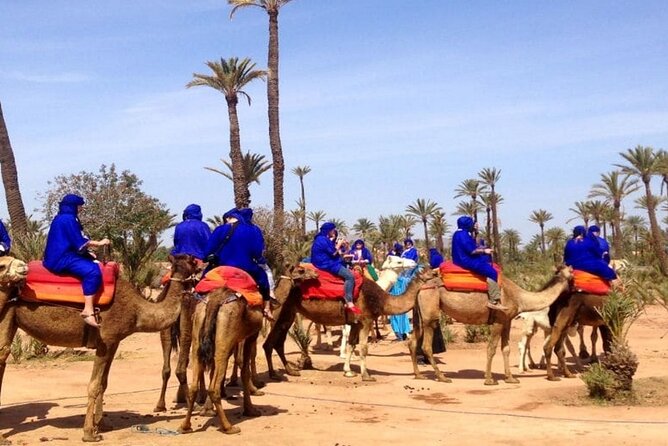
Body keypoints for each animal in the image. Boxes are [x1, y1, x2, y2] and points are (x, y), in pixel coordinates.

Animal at [0, 254, 198, 442]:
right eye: (194, 261)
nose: (201, 268)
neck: (138, 311)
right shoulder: (106, 340)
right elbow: (94, 385)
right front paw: (89, 433)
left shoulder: (114, 342)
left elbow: (103, 383)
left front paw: (102, 424)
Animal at [179, 264, 318, 434]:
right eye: (301, 270)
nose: (316, 274)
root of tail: (214, 299)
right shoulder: (251, 334)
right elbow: (245, 365)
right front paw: (251, 405)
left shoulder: (237, 338)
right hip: (225, 334)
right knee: (215, 383)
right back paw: (228, 426)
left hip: (199, 331)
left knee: (195, 382)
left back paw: (186, 425)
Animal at [260, 266, 434, 382]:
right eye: (428, 272)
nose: (436, 271)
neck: (381, 299)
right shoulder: (366, 320)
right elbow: (363, 348)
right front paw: (366, 376)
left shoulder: (355, 323)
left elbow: (351, 345)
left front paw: (348, 371)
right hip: (278, 311)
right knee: (269, 342)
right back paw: (274, 374)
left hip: (288, 313)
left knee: (277, 343)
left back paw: (290, 371)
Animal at [408, 266, 576, 386]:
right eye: (572, 273)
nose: (577, 286)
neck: (520, 297)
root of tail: (421, 287)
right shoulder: (498, 321)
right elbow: (492, 348)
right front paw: (489, 379)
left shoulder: (507, 321)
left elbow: (506, 349)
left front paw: (510, 378)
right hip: (430, 313)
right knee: (426, 345)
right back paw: (442, 377)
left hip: (419, 315)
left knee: (412, 341)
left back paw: (419, 375)